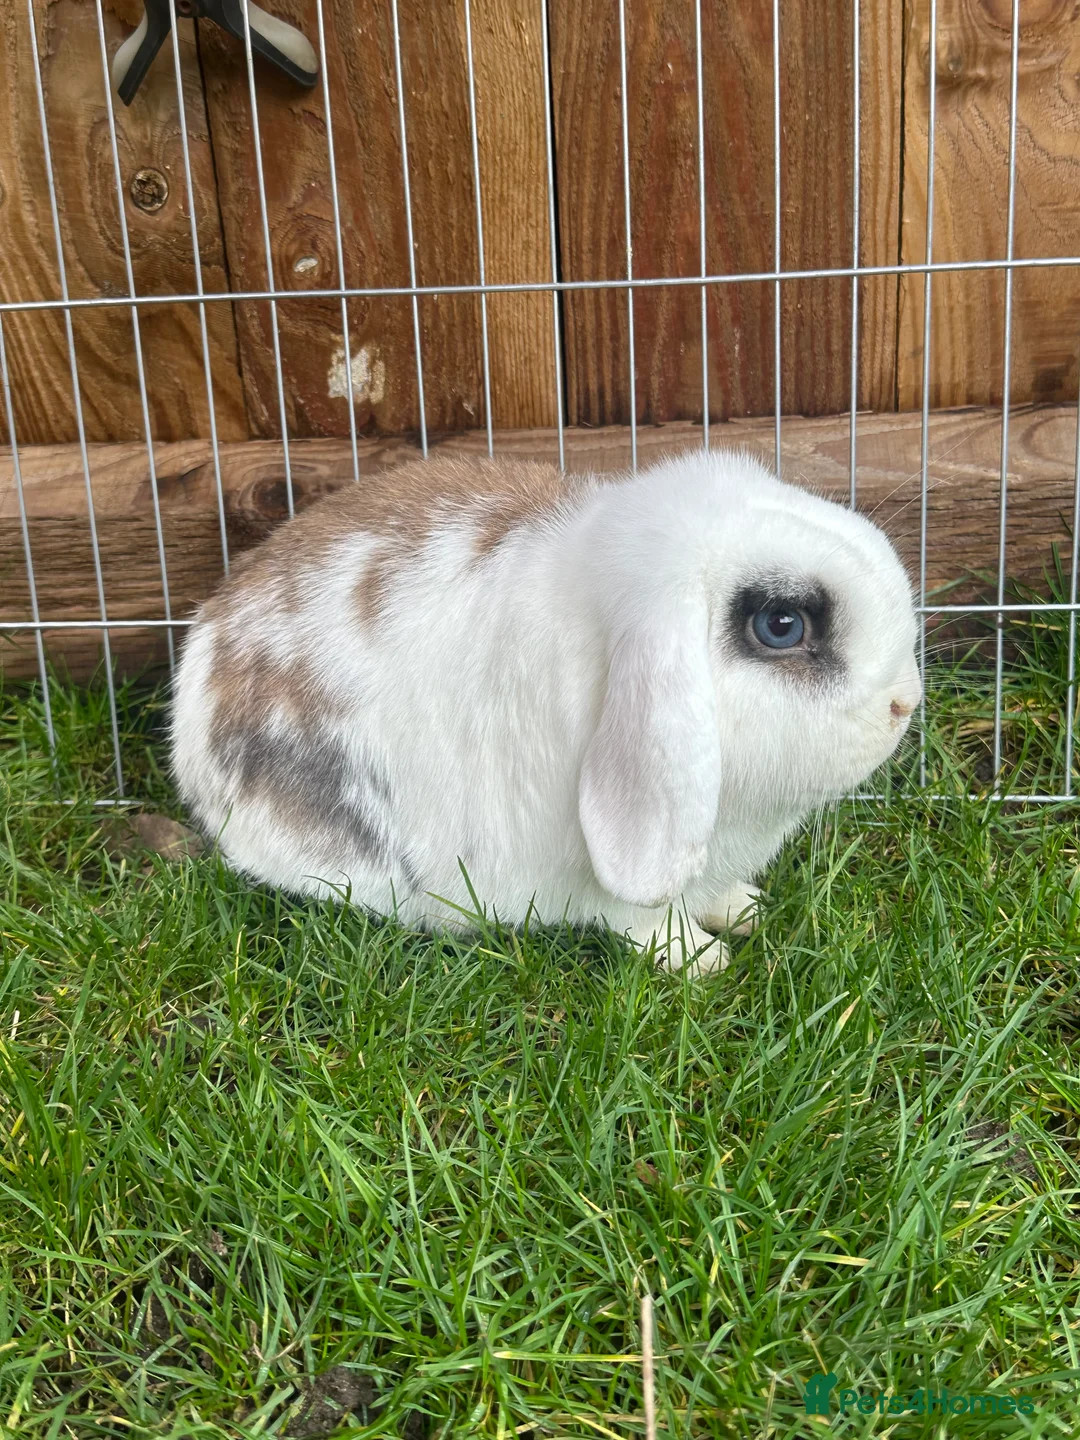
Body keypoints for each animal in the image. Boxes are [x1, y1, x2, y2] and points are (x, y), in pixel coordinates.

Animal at [171, 448, 922, 974]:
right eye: (781, 624)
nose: (904, 702)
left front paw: (745, 908)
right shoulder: (610, 888)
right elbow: (644, 923)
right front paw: (702, 961)